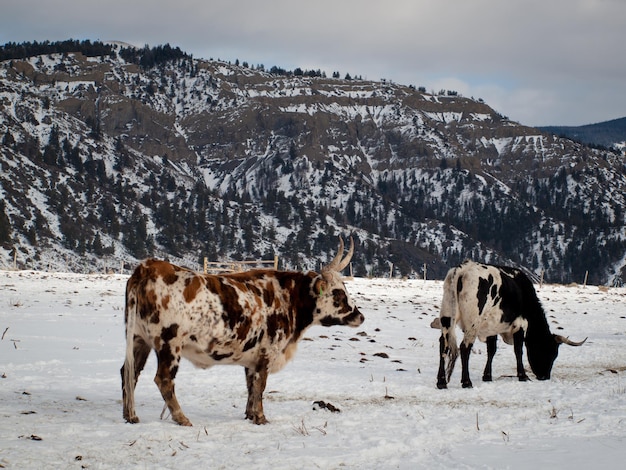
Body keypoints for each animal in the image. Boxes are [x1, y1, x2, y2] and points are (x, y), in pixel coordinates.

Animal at [120, 237, 360, 424]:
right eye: (338, 293)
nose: (360, 316)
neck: (287, 297)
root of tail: (148, 267)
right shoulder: (267, 353)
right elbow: (260, 386)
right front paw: (261, 418)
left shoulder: (251, 357)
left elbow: (251, 386)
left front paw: (250, 414)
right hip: (169, 344)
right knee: (163, 379)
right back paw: (181, 418)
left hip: (139, 339)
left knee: (129, 373)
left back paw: (130, 415)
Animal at [434, 260, 584, 390]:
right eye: (551, 352)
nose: (544, 376)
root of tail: (463, 269)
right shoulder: (520, 325)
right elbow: (518, 350)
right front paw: (523, 375)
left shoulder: (491, 328)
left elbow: (492, 350)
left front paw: (487, 376)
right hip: (472, 324)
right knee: (465, 347)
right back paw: (466, 382)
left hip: (447, 318)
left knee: (443, 345)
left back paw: (441, 382)